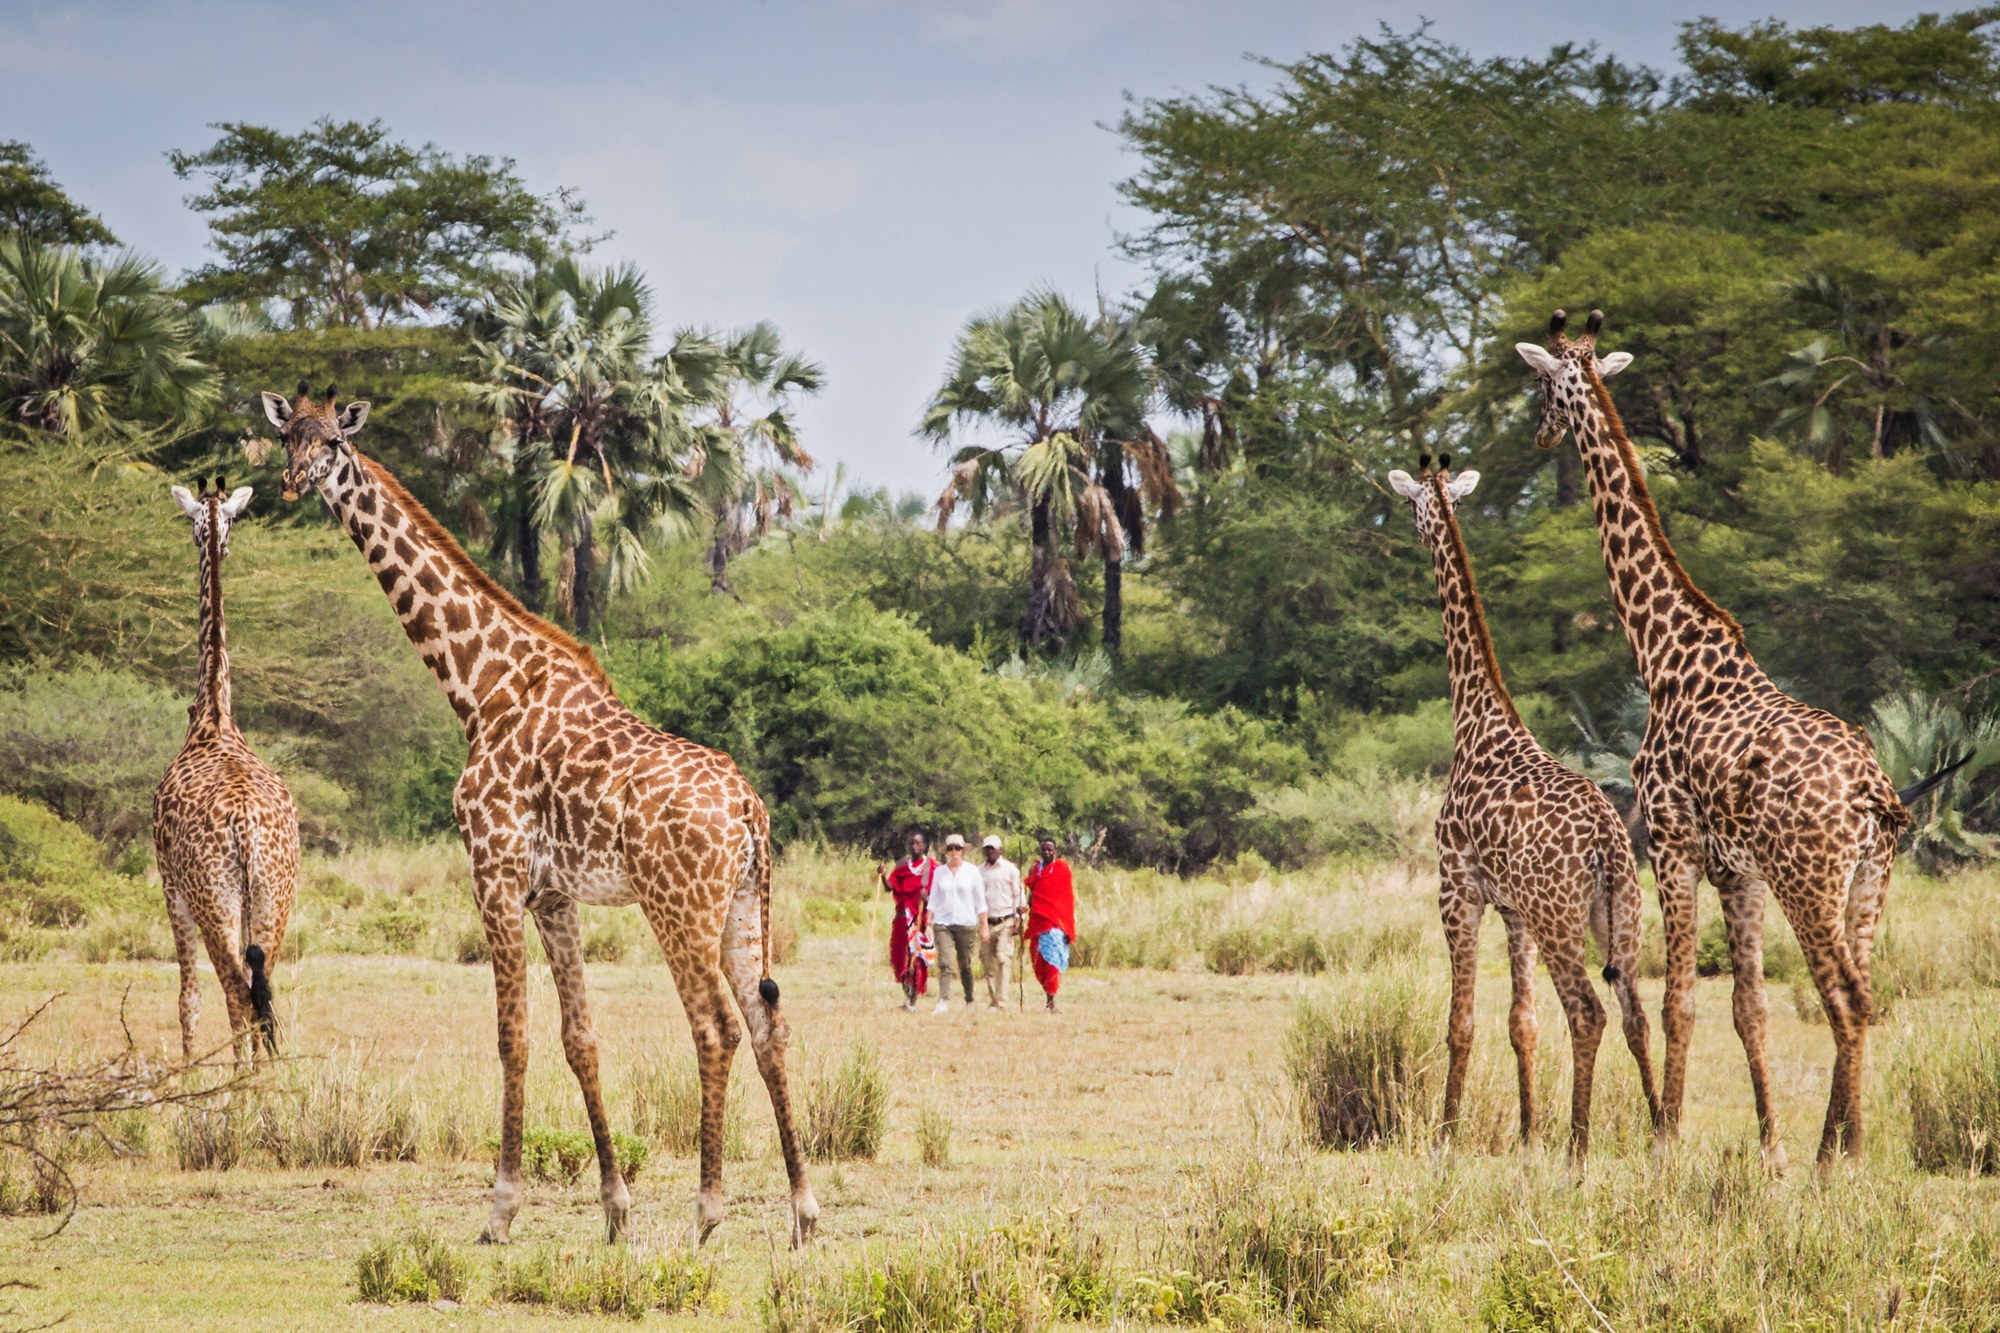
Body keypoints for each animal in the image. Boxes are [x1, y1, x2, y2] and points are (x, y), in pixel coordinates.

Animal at [153, 476, 300, 1064]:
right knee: (263, 989)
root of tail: (244, 826)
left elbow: (188, 997)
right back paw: (261, 1080)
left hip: (212, 898)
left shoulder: (170, 883)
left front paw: (189, 1072)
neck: (214, 712)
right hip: (274, 896)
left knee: (236, 993)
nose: (217, 539)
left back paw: (238, 1082)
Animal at [260, 382, 817, 1247]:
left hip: (677, 905)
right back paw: (801, 1211)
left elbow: (511, 1034)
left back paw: (708, 1210)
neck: (478, 687)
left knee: (716, 1026)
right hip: (742, 904)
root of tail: (751, 810)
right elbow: (579, 1036)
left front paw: (500, 1207)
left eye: (334, 444)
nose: (291, 482)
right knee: (767, 1025)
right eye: (288, 436)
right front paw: (615, 1208)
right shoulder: (553, 892)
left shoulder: (492, 869)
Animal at [1389, 456, 1658, 1158]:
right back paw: (1660, 1133)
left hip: (1560, 917)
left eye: (1414, 505)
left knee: (1588, 1012)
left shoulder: (1457, 888)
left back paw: (1579, 1148)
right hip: (1619, 914)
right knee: (1636, 1013)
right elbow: (1522, 1023)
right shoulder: (1514, 911)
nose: (1416, 533)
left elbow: (1461, 1022)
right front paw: (1529, 1133)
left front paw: (1446, 1138)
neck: (1476, 721)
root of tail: (1606, 843)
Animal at [1517, 309, 1932, 1168]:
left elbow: (1679, 999)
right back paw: (1841, 1142)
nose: (1539, 434)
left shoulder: (1670, 840)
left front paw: (1666, 1141)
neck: (1664, 651)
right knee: (1866, 989)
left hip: (1810, 878)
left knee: (1844, 995)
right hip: (1871, 877)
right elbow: (1748, 1006)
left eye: (1542, 384)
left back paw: (1835, 1157)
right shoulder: (1738, 871)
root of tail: (1873, 790)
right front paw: (1768, 1144)